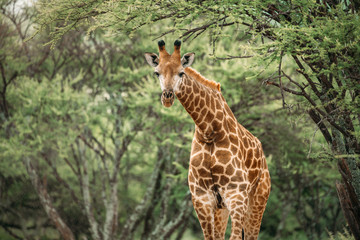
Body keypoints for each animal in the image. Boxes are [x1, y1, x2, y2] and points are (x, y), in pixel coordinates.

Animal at [145, 40, 272, 239]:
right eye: (156, 72)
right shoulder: (202, 198)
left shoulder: (236, 194)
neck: (209, 131)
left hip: (257, 200)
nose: (167, 97)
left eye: (181, 72)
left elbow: (235, 237)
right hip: (222, 208)